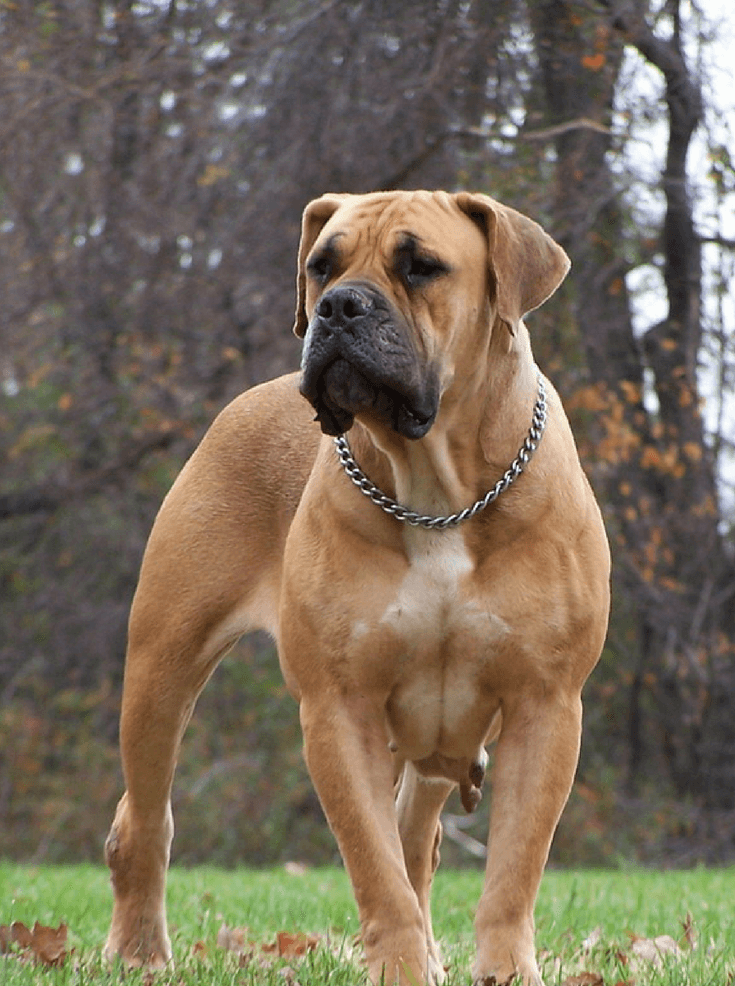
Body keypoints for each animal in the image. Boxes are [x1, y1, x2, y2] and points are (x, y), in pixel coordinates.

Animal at [102, 188, 608, 980]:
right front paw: (399, 968)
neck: (435, 489)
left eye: (421, 266)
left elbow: (511, 872)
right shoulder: (339, 709)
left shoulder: (545, 706)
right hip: (163, 666)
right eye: (321, 265)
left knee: (417, 836)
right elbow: (376, 870)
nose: (340, 306)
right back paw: (139, 951)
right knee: (145, 818)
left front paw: (500, 969)